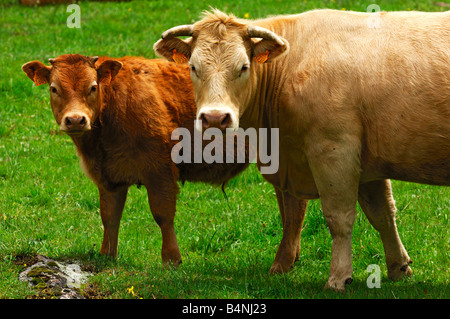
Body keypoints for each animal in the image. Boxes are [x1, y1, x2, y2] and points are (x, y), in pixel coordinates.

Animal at [155, 8, 450, 292]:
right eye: (193, 67)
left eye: (243, 67)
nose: (215, 118)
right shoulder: (368, 161)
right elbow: (382, 214)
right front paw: (399, 268)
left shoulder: (334, 151)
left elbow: (339, 217)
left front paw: (339, 277)